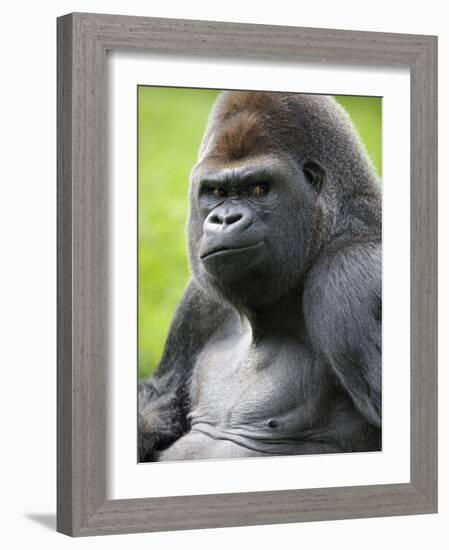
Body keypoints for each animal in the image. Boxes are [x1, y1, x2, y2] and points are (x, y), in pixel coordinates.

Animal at [137, 90, 382, 462]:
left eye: (258, 189)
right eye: (217, 192)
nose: (224, 219)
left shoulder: (349, 275)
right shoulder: (199, 299)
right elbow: (159, 405)